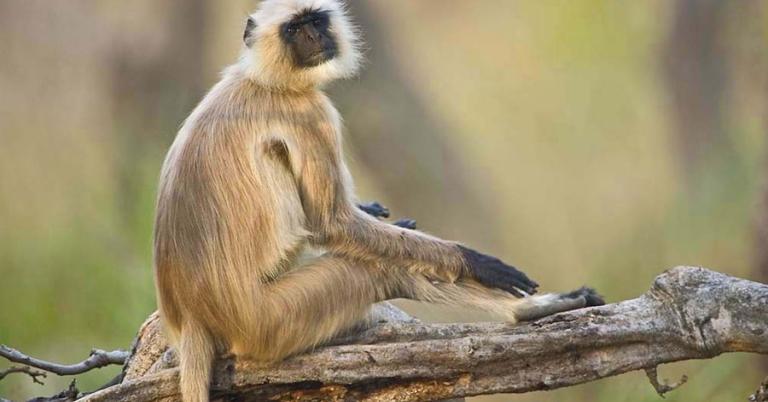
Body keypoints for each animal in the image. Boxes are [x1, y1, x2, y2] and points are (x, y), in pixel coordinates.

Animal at [152, 1, 604, 401]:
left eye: (316, 21)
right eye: (294, 30)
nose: (315, 38)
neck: (262, 80)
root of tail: (193, 319)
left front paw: (377, 212)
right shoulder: (311, 112)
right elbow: (333, 223)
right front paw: (478, 262)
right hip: (267, 322)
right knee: (372, 270)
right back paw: (528, 312)